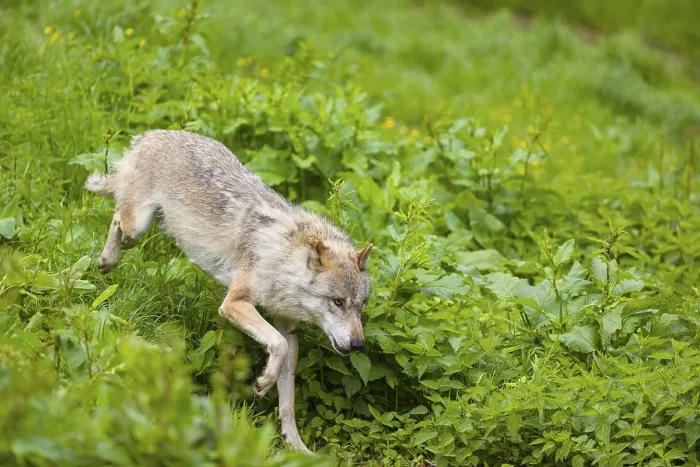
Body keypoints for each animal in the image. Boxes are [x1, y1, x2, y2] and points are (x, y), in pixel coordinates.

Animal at [85, 129, 373, 453]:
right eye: (337, 302)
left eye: (360, 305)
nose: (358, 344)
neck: (284, 258)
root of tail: (153, 134)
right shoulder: (234, 304)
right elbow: (277, 346)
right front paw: (262, 384)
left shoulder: (289, 330)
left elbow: (287, 397)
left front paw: (296, 447)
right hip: (138, 226)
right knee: (117, 219)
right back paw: (106, 260)